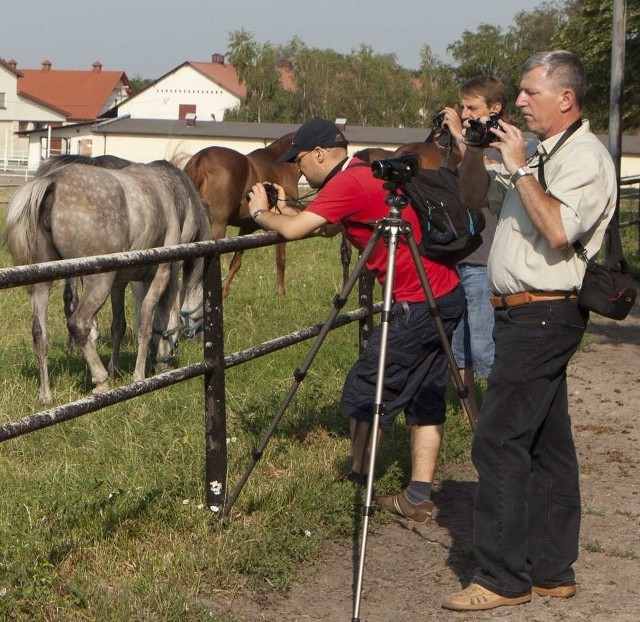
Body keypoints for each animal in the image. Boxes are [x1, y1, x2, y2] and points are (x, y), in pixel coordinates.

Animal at [5, 160, 210, 404]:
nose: (164, 365)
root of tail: (52, 181)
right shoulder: (159, 275)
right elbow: (147, 322)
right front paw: (138, 377)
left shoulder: (118, 284)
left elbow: (118, 325)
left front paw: (115, 369)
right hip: (97, 282)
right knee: (78, 323)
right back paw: (100, 380)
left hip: (43, 282)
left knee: (39, 334)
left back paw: (46, 395)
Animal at [184, 133, 302, 298]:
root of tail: (202, 158)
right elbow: (281, 259)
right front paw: (280, 293)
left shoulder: (246, 228)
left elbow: (236, 262)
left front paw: (224, 292)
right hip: (217, 226)